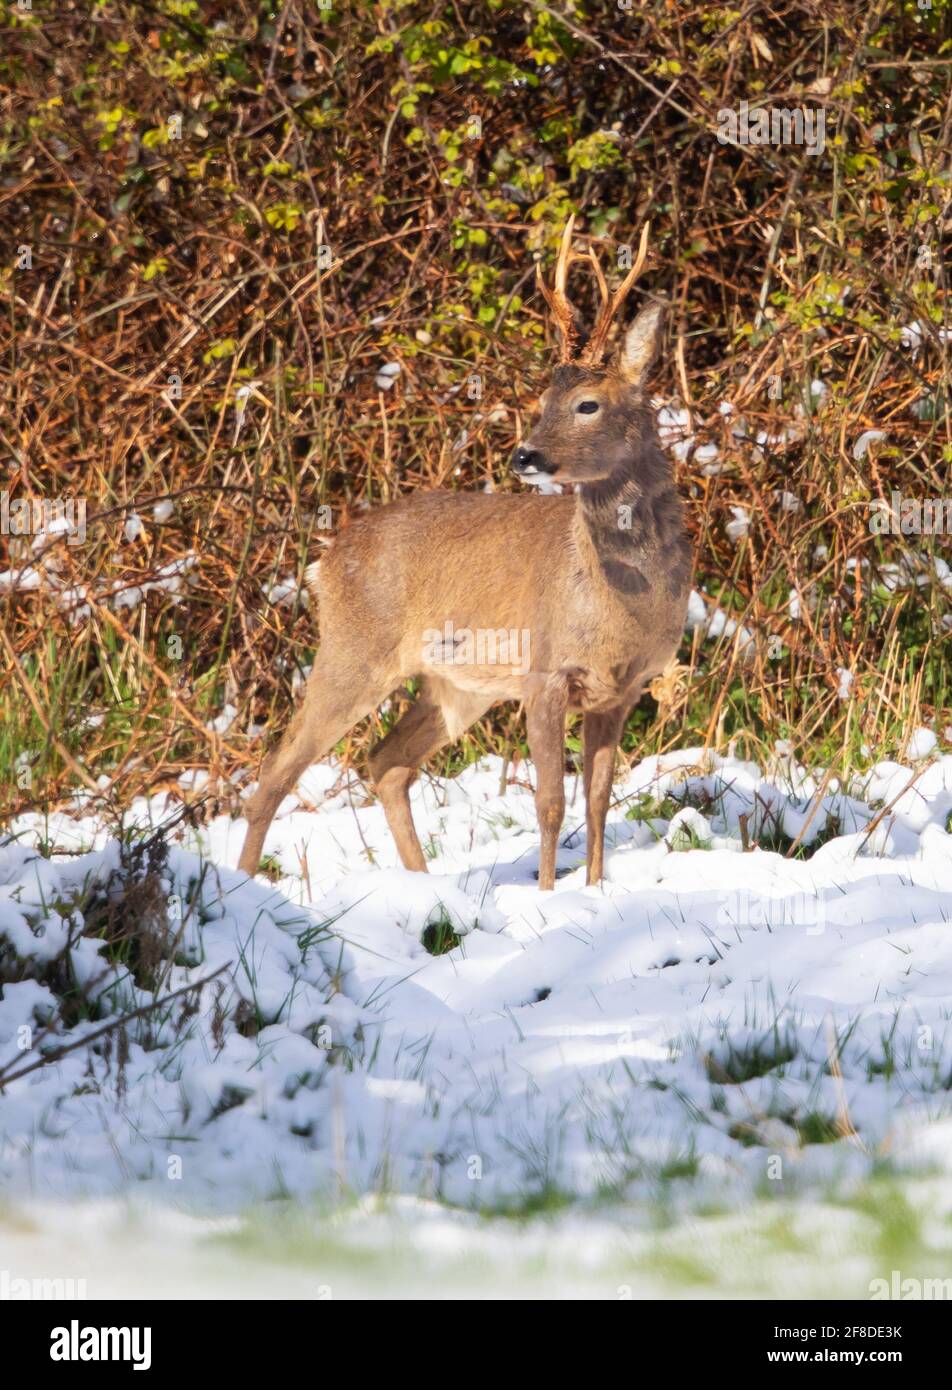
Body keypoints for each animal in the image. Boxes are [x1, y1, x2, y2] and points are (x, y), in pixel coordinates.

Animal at [237, 218, 692, 890]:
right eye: (540, 401)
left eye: (588, 404)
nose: (525, 455)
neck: (622, 601)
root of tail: (325, 561)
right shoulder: (544, 671)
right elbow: (549, 802)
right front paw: (548, 895)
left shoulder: (622, 689)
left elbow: (599, 799)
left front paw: (594, 890)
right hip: (353, 650)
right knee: (275, 770)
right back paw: (241, 886)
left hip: (452, 685)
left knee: (386, 761)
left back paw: (421, 883)